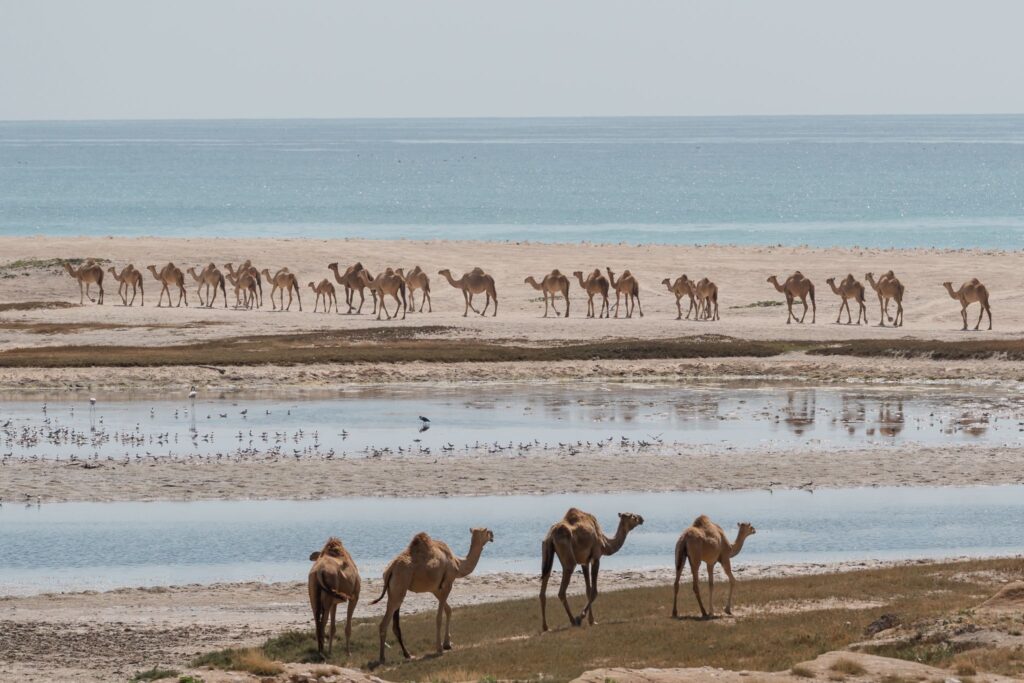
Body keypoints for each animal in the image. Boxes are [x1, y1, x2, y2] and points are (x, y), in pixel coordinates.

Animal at [371, 528, 494, 663]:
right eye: (486, 531)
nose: (493, 535)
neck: (457, 563)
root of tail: (390, 570)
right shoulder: (448, 584)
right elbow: (439, 617)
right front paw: (439, 648)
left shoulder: (435, 589)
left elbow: (449, 610)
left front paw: (447, 644)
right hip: (399, 588)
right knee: (384, 623)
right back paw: (382, 658)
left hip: (392, 591)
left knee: (393, 622)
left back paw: (406, 654)